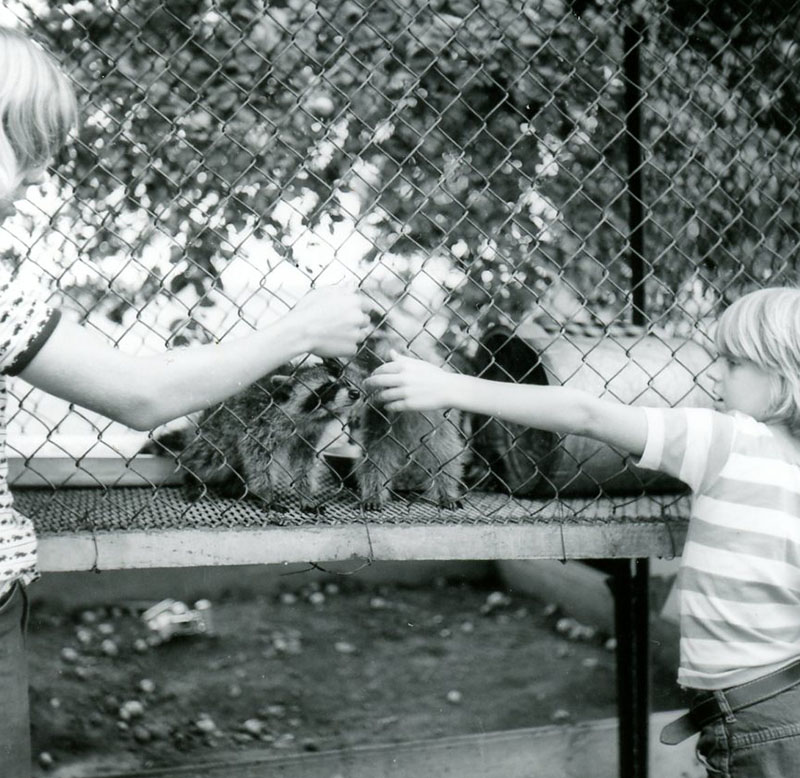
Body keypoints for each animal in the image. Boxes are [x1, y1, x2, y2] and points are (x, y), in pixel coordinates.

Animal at [170, 360, 360, 512]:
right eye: (327, 387)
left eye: (347, 382)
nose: (355, 393)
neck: (311, 417)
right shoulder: (261, 423)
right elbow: (258, 459)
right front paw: (266, 493)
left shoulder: (309, 434)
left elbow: (303, 462)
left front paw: (304, 492)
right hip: (218, 428)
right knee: (208, 454)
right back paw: (191, 475)